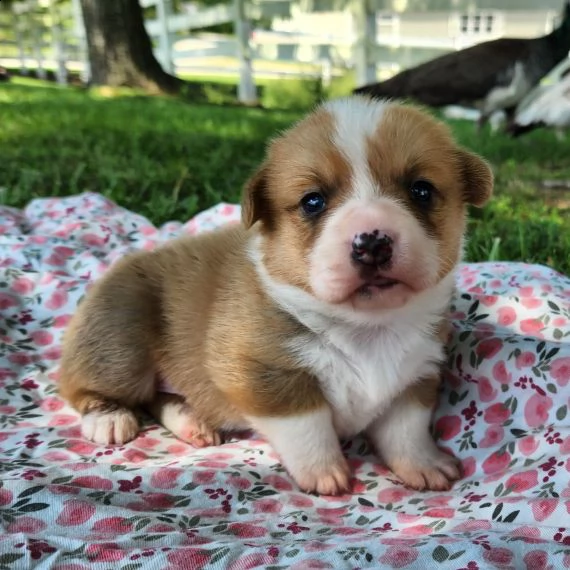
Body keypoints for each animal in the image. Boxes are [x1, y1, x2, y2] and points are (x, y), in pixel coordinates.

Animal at [58, 96, 492, 492]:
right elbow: (308, 425)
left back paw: (191, 420)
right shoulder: (263, 375)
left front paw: (423, 464)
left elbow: (407, 431)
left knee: (158, 397)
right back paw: (110, 417)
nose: (372, 243)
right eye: (313, 201)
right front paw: (324, 473)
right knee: (90, 386)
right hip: (121, 340)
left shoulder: (415, 376)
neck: (366, 327)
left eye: (421, 191)